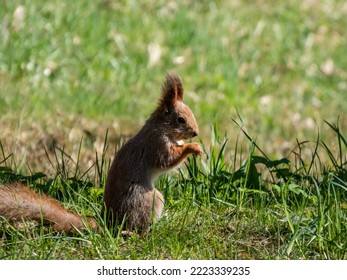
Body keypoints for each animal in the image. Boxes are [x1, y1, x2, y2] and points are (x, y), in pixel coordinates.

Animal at [0, 73, 203, 233]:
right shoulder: (155, 144)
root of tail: (109, 222)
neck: (162, 128)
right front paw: (193, 147)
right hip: (146, 199)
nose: (195, 133)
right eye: (180, 119)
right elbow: (166, 160)